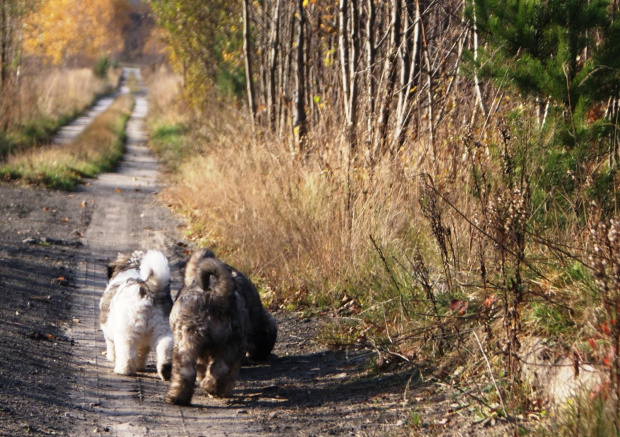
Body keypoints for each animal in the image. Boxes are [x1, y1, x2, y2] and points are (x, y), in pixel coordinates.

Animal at [99, 250, 173, 380]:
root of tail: (150, 290)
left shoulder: (108, 330)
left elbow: (111, 344)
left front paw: (111, 357)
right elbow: (142, 351)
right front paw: (139, 365)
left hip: (127, 330)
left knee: (127, 352)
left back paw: (123, 370)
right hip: (163, 328)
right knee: (165, 347)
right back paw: (166, 372)